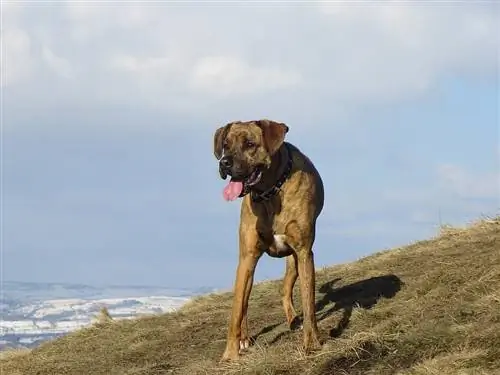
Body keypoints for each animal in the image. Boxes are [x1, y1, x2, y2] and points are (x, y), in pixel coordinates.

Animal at [214, 119, 324, 362]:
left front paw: (312, 343)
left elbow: (309, 303)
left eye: (250, 144)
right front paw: (230, 354)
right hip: (247, 265)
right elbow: (237, 309)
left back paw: (293, 320)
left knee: (285, 290)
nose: (224, 163)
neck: (271, 192)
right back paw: (245, 337)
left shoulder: (304, 252)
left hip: (293, 261)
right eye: (225, 145)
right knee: (244, 300)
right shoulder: (247, 256)